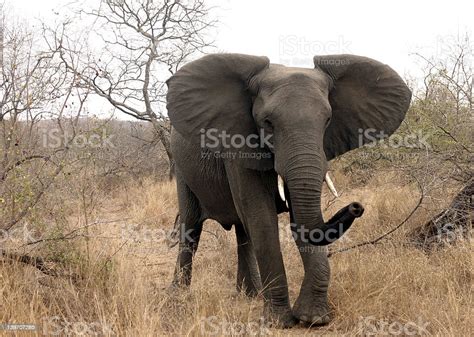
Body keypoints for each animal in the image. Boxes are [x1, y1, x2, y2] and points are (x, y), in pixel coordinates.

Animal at [165, 53, 410, 326]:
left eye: (327, 121)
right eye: (268, 123)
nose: (356, 206)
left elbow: (299, 221)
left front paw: (313, 318)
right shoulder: (238, 145)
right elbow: (262, 219)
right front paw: (278, 322)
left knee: (243, 232)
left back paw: (250, 295)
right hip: (182, 170)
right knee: (191, 227)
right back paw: (179, 296)